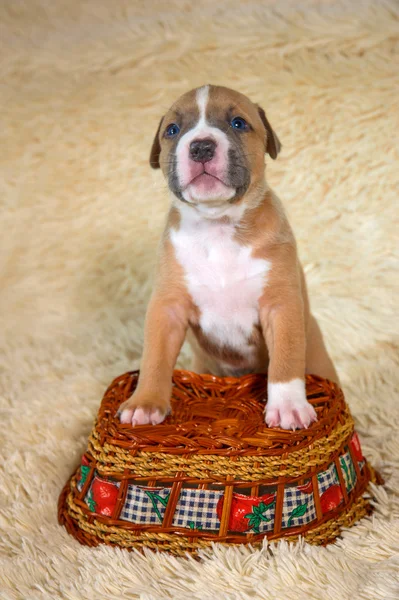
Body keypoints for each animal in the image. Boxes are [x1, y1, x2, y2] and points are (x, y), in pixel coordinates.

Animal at [119, 85, 340, 432]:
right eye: (173, 129)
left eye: (238, 123)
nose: (201, 147)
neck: (218, 226)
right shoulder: (167, 308)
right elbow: (154, 357)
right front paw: (145, 403)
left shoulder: (282, 305)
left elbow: (286, 359)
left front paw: (288, 407)